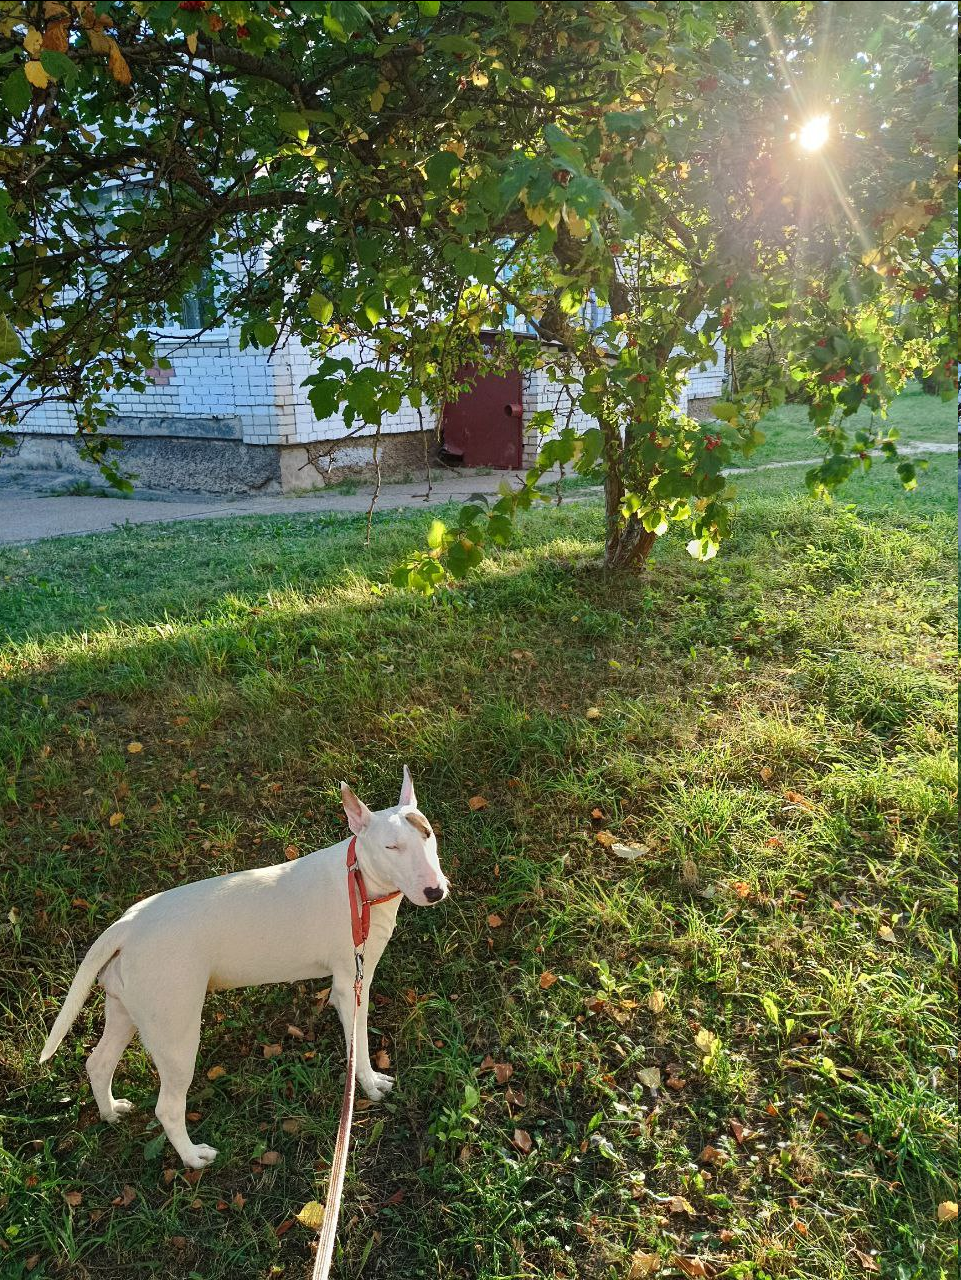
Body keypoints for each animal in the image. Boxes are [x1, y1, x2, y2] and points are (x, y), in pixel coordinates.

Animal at [39, 768, 450, 1172]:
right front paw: (369, 1084)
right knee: (167, 1107)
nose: (436, 892)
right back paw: (193, 1157)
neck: (360, 878)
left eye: (427, 834)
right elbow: (359, 1044)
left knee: (98, 1062)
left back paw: (110, 1112)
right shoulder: (352, 986)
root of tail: (126, 925)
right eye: (391, 847)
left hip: (125, 1008)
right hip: (176, 1032)